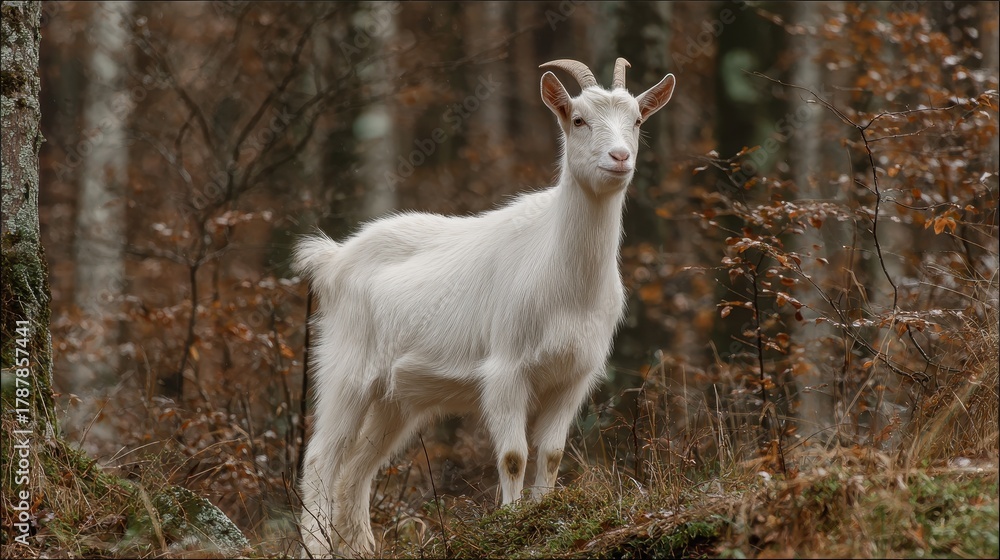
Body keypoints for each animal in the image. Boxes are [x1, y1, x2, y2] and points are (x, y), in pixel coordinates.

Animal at [296, 57, 675, 557]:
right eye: (577, 119)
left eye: (636, 121)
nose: (619, 158)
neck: (564, 280)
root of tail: (333, 259)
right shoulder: (506, 370)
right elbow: (514, 455)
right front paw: (511, 523)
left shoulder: (574, 376)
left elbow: (551, 454)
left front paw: (543, 515)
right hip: (346, 371)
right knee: (322, 457)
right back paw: (316, 547)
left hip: (396, 400)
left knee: (357, 468)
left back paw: (360, 548)